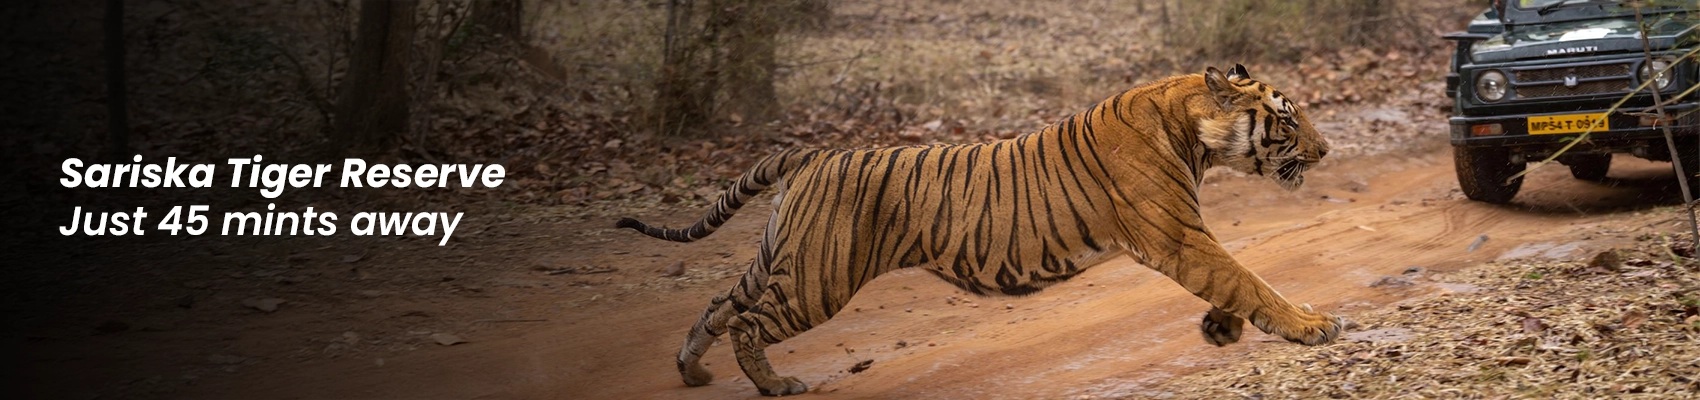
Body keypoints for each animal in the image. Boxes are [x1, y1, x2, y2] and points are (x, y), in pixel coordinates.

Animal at [617, 64, 1343, 396]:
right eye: (1287, 118)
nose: (1328, 149)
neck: (1190, 125)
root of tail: (810, 154)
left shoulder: (1186, 241)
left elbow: (1239, 282)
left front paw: (1222, 329)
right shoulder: (1180, 239)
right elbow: (1251, 280)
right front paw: (1314, 326)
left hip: (784, 260)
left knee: (717, 304)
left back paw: (692, 372)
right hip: (818, 279)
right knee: (744, 321)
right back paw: (774, 385)